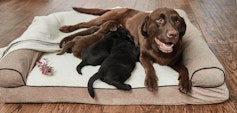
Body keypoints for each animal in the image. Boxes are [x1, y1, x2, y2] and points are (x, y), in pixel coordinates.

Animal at [59, 7, 193, 93]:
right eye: (159, 20)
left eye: (177, 21)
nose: (173, 34)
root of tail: (121, 8)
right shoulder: (143, 56)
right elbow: (149, 67)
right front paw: (151, 81)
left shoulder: (175, 61)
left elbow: (185, 69)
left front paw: (185, 83)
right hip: (102, 19)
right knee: (82, 24)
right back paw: (66, 29)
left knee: (86, 30)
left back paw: (67, 40)